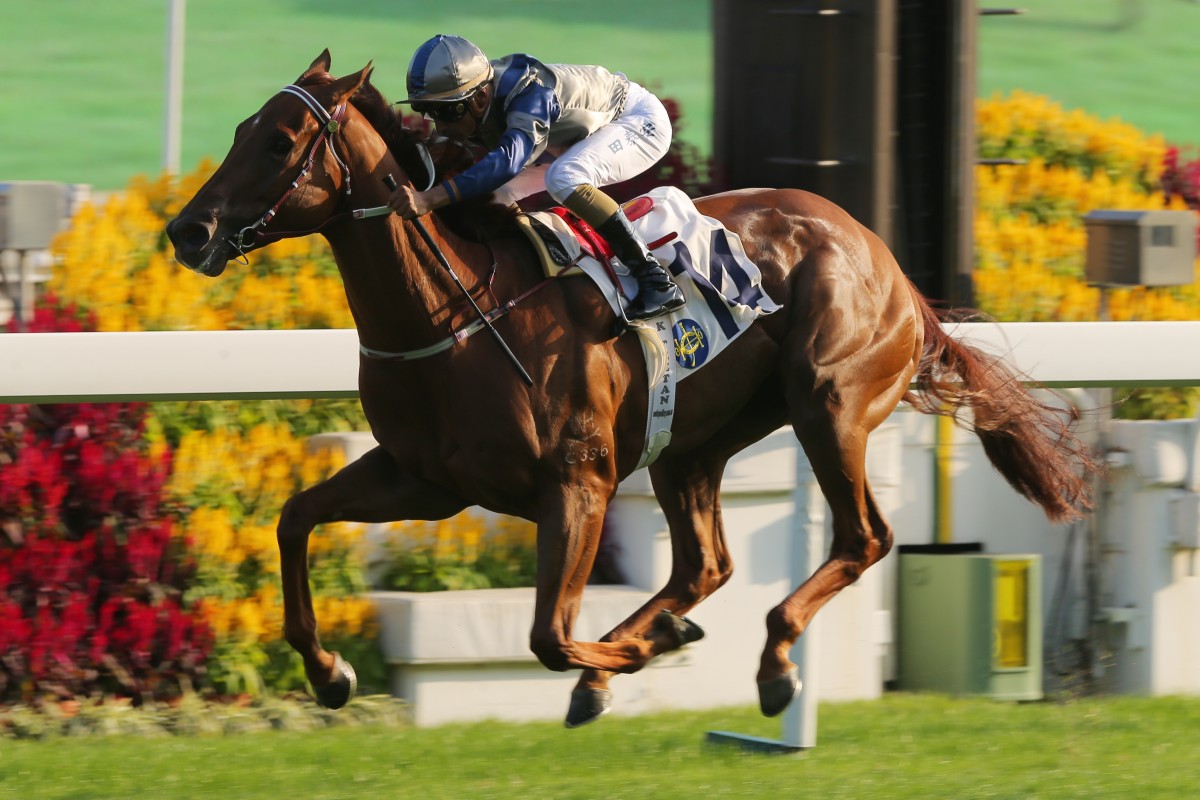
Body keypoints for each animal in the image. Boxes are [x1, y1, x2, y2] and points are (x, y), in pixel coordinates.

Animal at [166, 53, 1099, 729]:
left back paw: (771, 661)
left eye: (282, 141)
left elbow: (549, 636)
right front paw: (328, 673)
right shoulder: (422, 480)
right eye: (244, 128)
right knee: (707, 564)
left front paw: (626, 664)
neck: (456, 310)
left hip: (828, 402)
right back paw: (673, 634)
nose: (187, 229)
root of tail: (892, 268)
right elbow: (294, 519)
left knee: (862, 536)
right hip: (692, 442)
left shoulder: (576, 482)